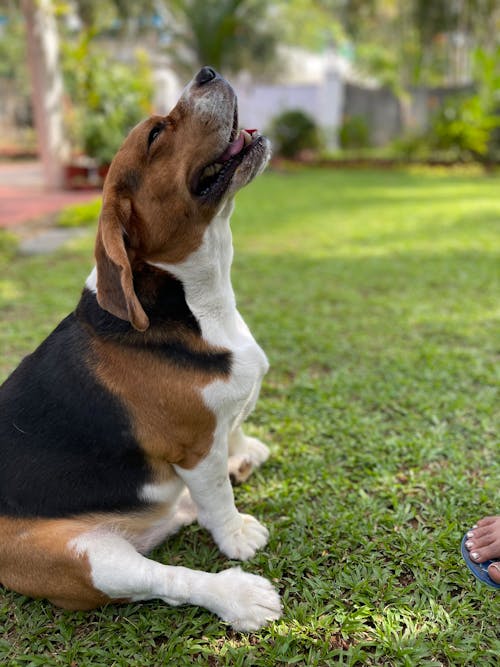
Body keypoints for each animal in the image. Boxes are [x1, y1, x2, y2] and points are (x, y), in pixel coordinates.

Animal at [0, 66, 282, 632]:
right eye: (155, 134)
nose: (207, 72)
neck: (196, 303)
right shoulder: (194, 448)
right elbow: (217, 500)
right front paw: (237, 534)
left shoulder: (217, 430)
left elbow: (233, 433)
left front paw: (245, 451)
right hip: (88, 559)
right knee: (169, 578)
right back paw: (239, 596)